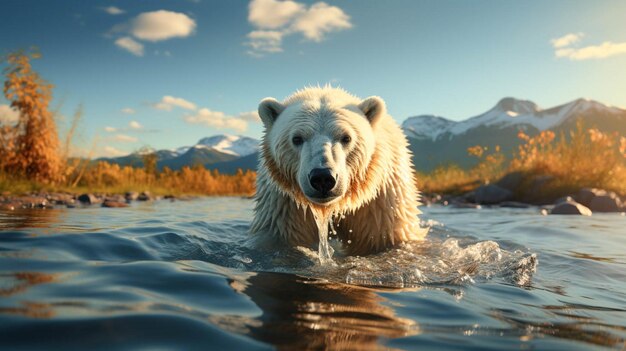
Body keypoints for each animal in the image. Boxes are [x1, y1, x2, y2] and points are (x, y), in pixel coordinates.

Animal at [249, 86, 424, 256]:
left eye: (346, 137)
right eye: (297, 138)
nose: (322, 178)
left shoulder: (381, 200)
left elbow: (386, 234)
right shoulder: (284, 203)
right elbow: (277, 235)